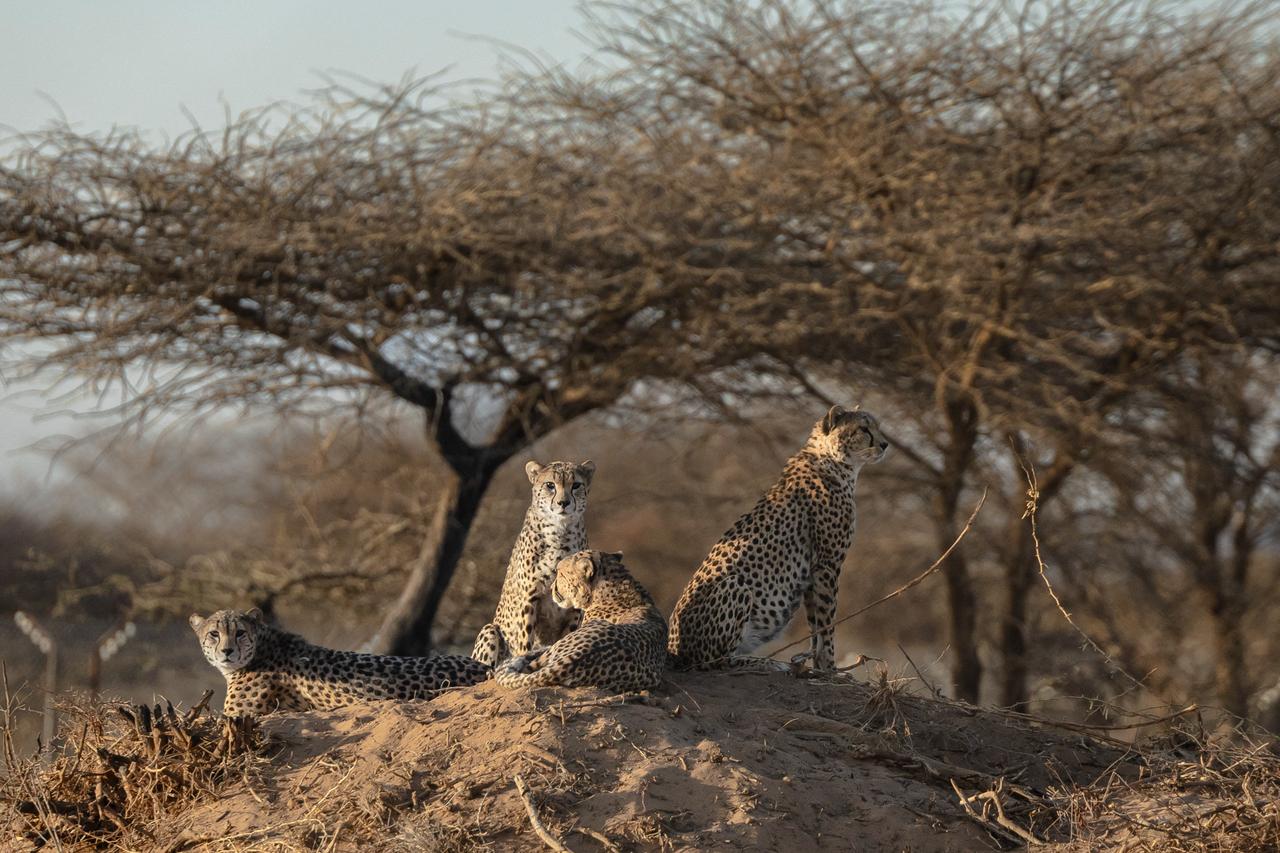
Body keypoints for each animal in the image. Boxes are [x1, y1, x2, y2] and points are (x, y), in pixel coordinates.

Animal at [471, 459, 596, 667]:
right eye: (550, 485)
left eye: (576, 485)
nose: (564, 503)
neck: (561, 532)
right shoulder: (529, 599)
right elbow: (524, 640)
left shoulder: (575, 606)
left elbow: (568, 637)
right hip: (490, 630)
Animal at [667, 405, 888, 672]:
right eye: (863, 428)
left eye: (876, 426)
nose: (885, 444)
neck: (834, 461)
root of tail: (672, 648)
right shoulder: (828, 563)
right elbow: (827, 622)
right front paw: (830, 667)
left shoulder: (811, 572)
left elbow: (815, 623)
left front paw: (818, 664)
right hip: (735, 585)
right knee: (717, 661)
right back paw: (764, 662)